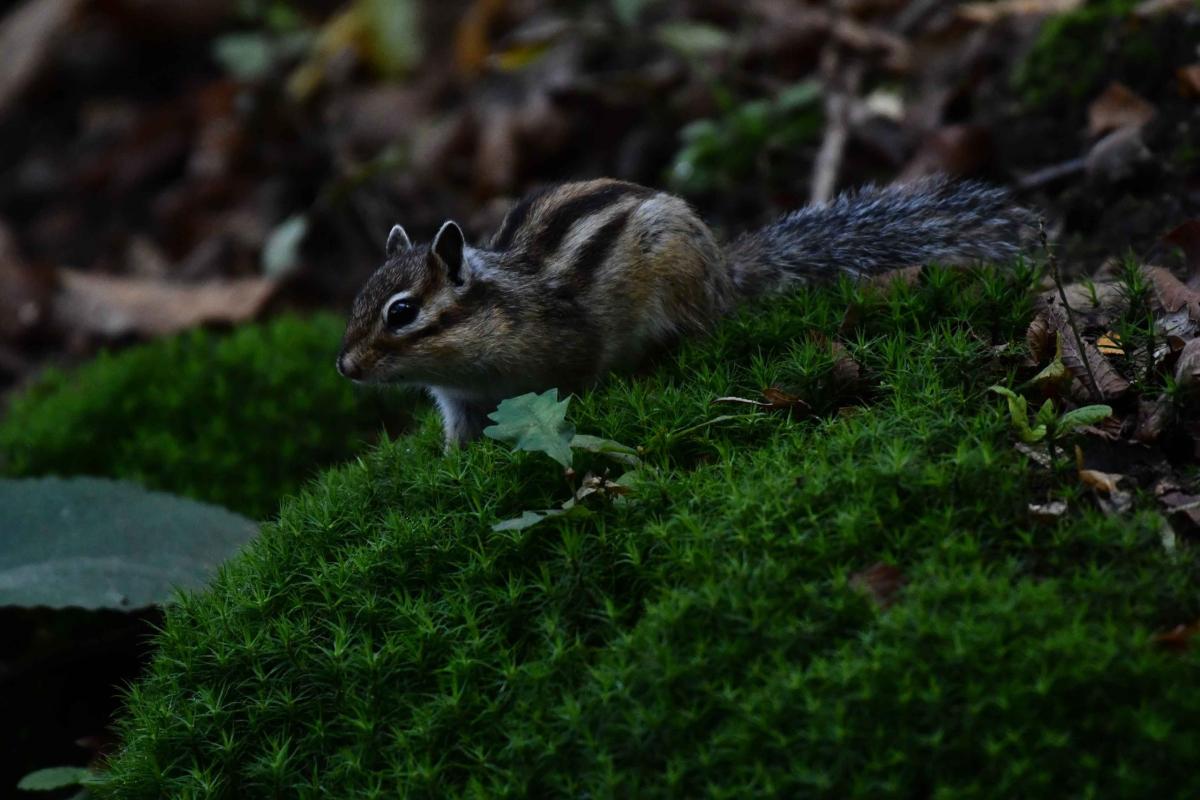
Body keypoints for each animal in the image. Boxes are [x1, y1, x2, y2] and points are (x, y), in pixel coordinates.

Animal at [338, 176, 1032, 446]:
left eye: (401, 312)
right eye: (359, 300)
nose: (345, 367)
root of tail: (725, 271)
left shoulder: (568, 352)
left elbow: (575, 386)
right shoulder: (456, 400)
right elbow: (458, 436)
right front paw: (454, 466)